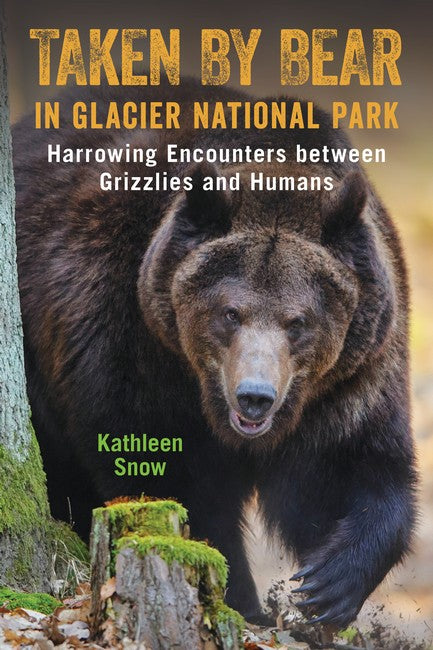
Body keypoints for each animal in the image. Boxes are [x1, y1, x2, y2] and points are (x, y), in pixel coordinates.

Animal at [12, 80, 417, 627]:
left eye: (298, 321)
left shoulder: (350, 377)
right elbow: (175, 481)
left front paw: (327, 585)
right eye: (230, 312)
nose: (254, 397)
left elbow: (352, 468)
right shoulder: (131, 343)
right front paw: (242, 600)